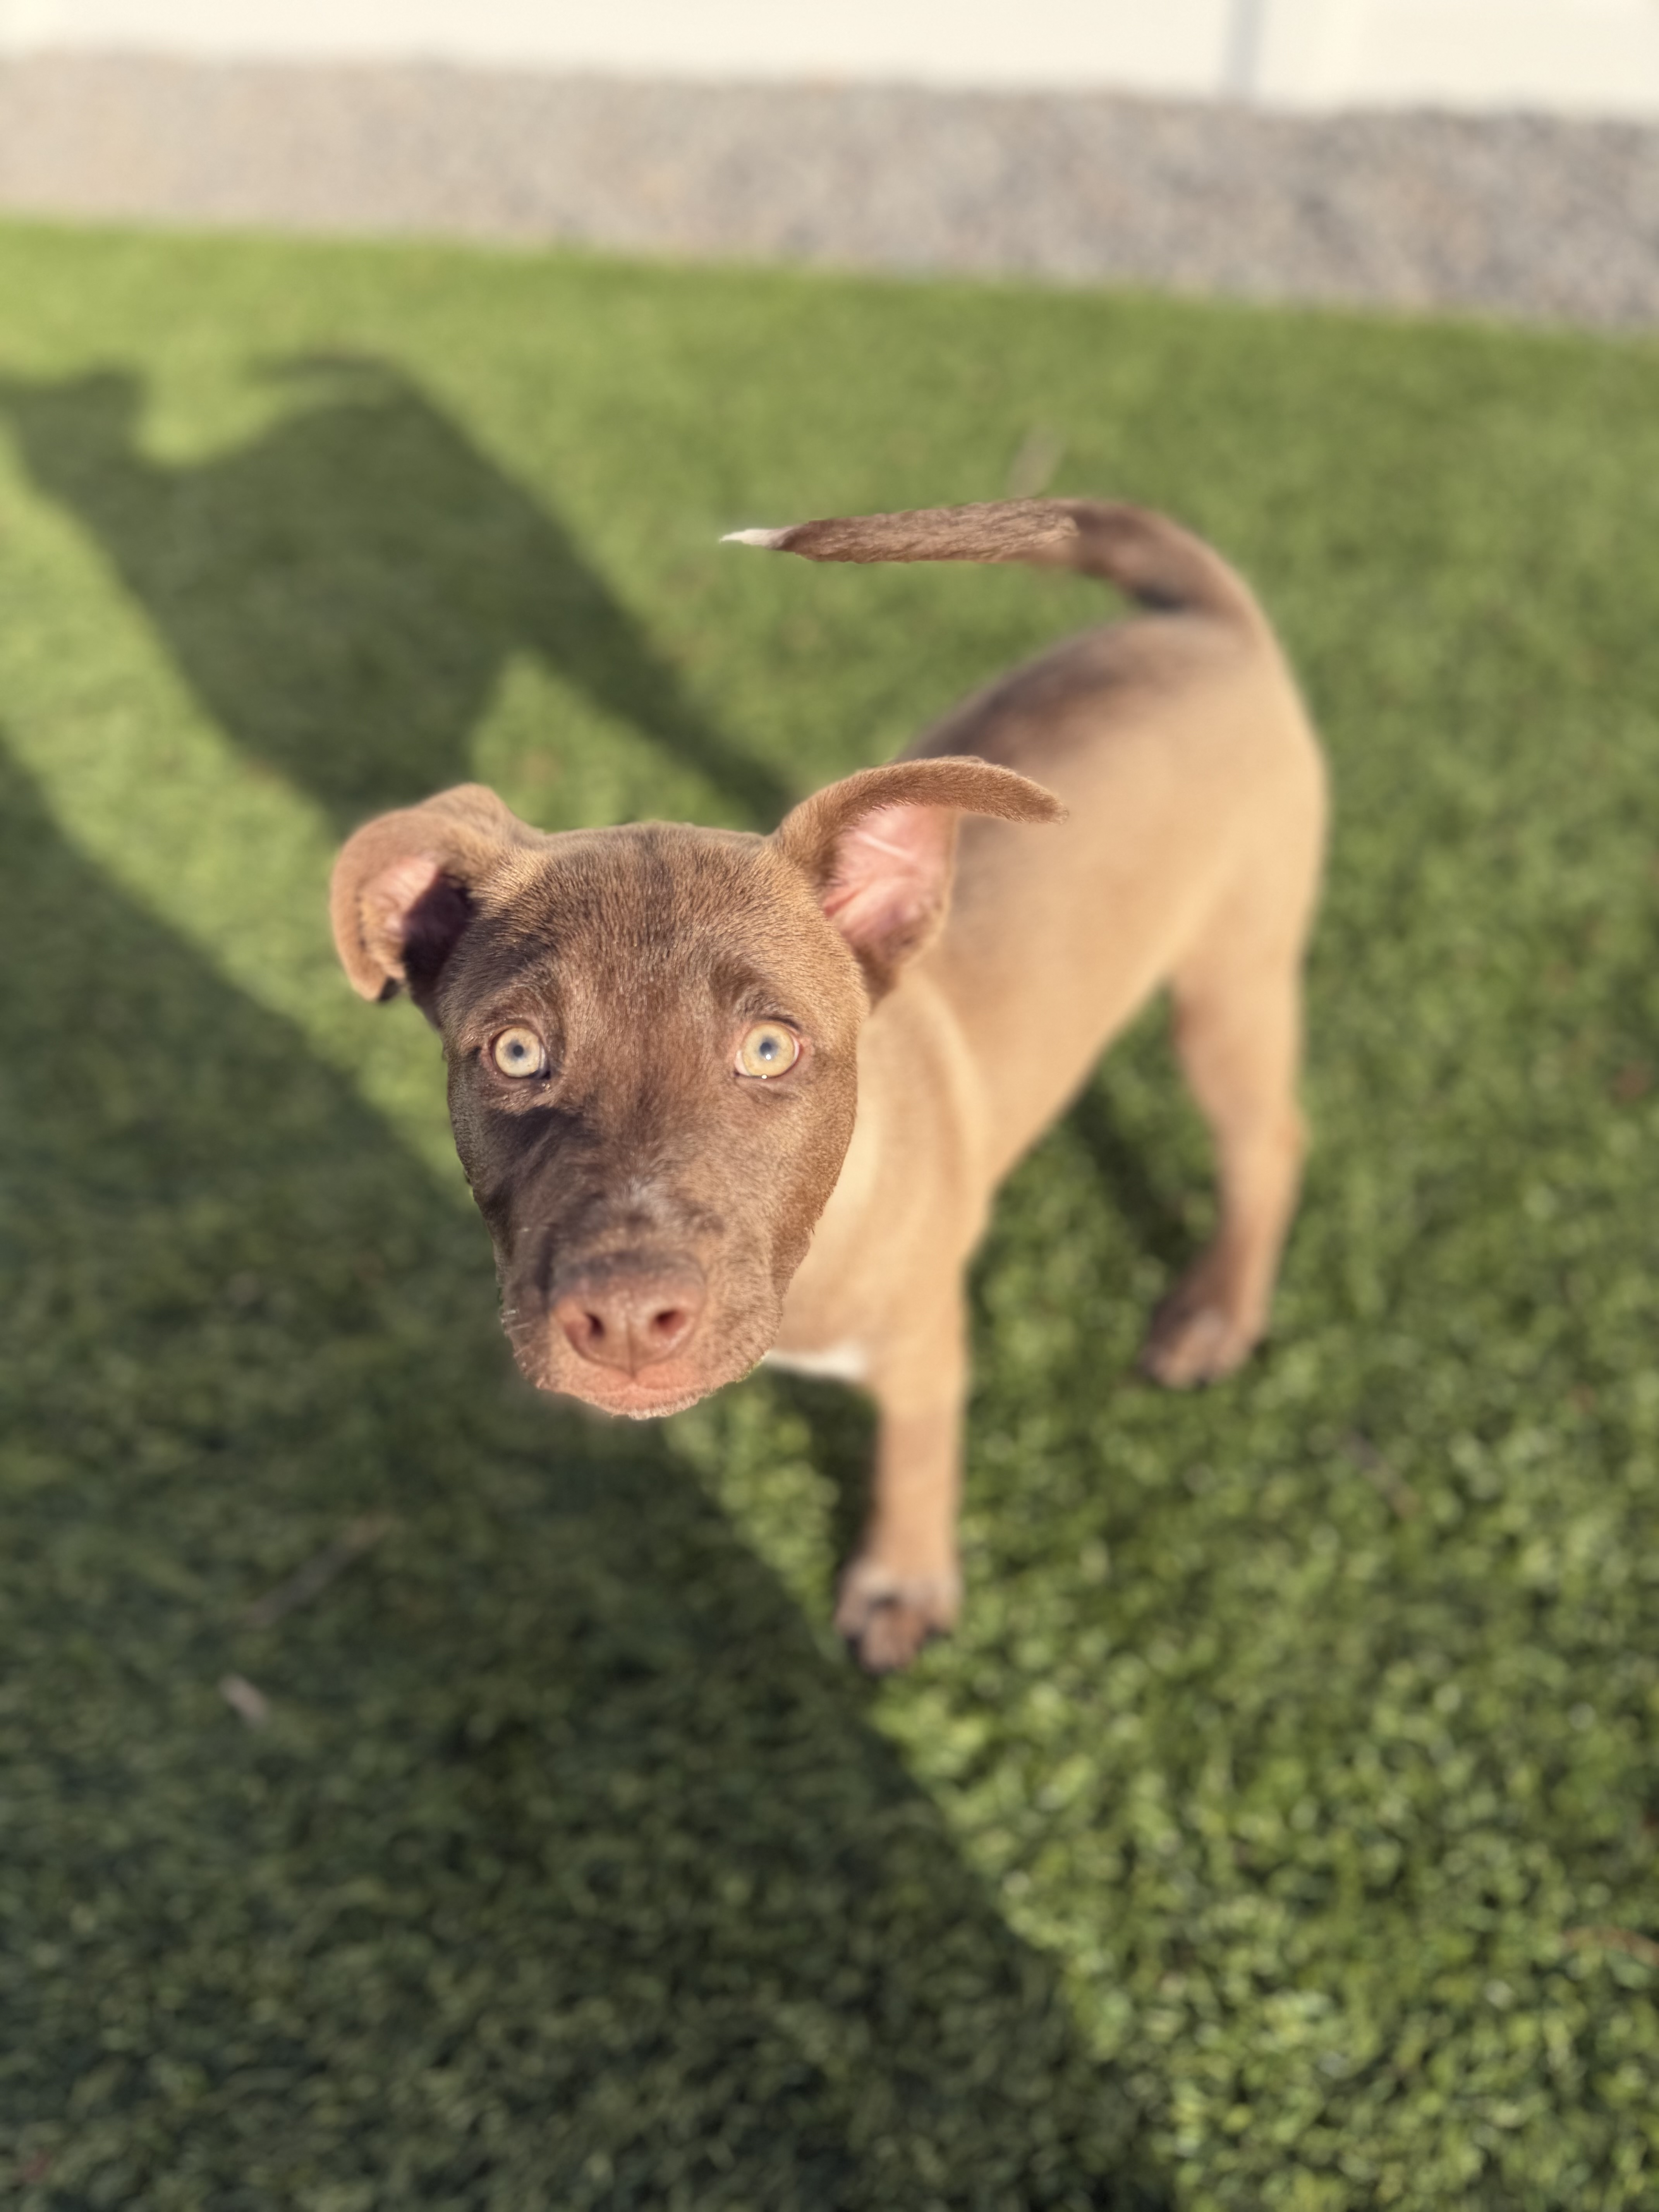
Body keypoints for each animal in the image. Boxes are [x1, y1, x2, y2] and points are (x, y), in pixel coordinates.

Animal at [329, 498, 1326, 1671]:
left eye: (771, 1049)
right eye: (516, 1054)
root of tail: (1207, 622)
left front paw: (899, 1584)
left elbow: (914, 1461)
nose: (623, 1320)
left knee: (1268, 1142)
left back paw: (1215, 1313)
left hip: (1230, 983)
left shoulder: (925, 1350)